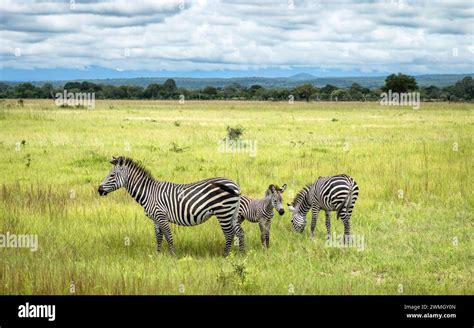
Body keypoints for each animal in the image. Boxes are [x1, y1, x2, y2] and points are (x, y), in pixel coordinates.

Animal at [98, 156, 243, 256]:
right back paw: (242, 254)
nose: (99, 190)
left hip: (223, 212)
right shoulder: (155, 219)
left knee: (229, 233)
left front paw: (173, 255)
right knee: (240, 232)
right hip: (232, 213)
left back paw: (225, 255)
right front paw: (157, 255)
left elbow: (168, 236)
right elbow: (158, 237)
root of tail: (235, 184)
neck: (149, 192)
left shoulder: (161, 216)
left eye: (112, 175)